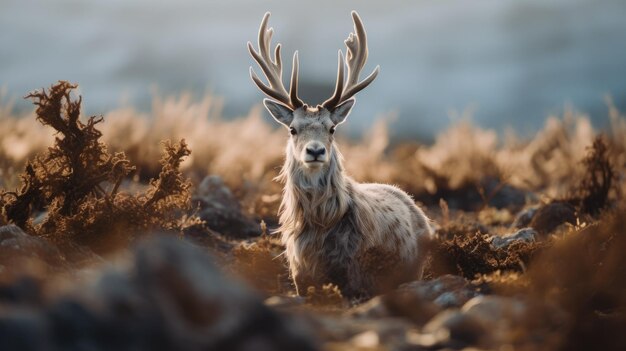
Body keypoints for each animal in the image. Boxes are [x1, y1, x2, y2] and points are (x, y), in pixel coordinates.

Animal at [246, 11, 432, 298]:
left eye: (332, 128)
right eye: (292, 129)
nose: (315, 150)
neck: (320, 225)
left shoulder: (355, 277)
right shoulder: (299, 275)